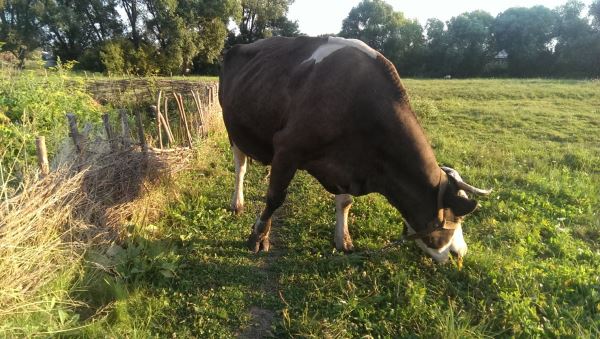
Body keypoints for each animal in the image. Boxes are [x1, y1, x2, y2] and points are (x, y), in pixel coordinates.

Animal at [218, 36, 490, 262]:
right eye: (458, 216)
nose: (460, 253)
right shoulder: (287, 147)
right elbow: (275, 197)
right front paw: (258, 237)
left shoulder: (346, 165)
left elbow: (345, 202)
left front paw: (343, 240)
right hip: (233, 130)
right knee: (240, 168)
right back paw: (237, 203)